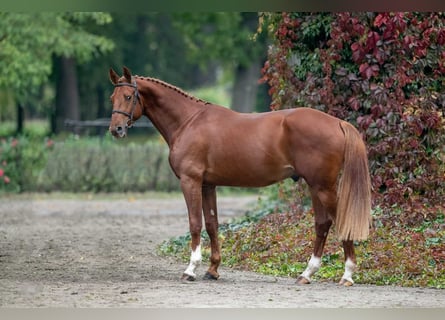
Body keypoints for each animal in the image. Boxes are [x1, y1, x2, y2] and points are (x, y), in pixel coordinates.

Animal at [108, 66, 372, 286]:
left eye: (129, 97)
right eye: (113, 98)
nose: (116, 129)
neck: (188, 122)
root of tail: (337, 123)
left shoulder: (190, 182)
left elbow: (195, 224)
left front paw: (191, 269)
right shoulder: (208, 185)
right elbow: (212, 224)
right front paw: (213, 270)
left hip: (323, 186)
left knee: (338, 222)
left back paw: (347, 275)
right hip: (315, 186)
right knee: (322, 224)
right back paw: (306, 274)